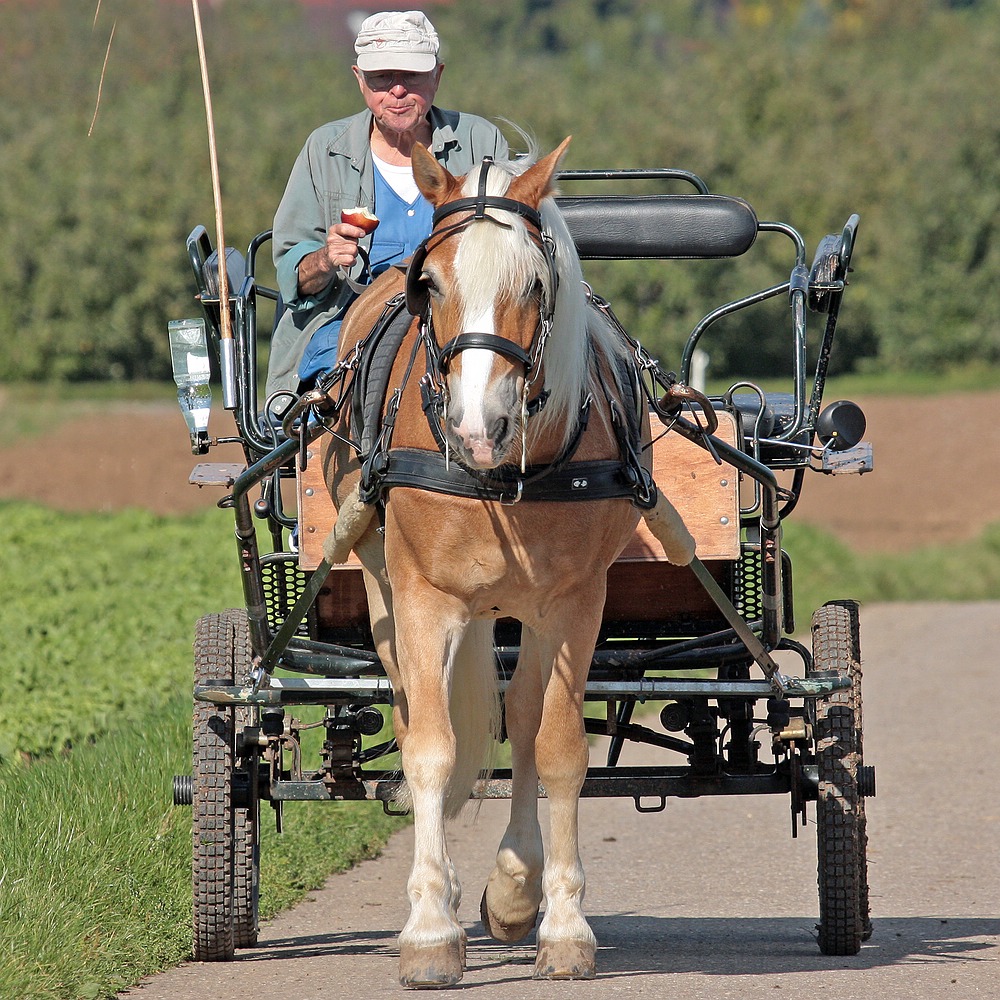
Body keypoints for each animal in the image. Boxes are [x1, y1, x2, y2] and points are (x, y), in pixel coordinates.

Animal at [322, 137, 696, 988]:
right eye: (430, 283)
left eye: (534, 282)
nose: (476, 424)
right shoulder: (423, 598)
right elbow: (430, 751)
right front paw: (430, 930)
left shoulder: (574, 603)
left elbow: (555, 746)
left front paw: (558, 919)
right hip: (386, 588)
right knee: (418, 711)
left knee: (522, 718)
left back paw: (515, 887)